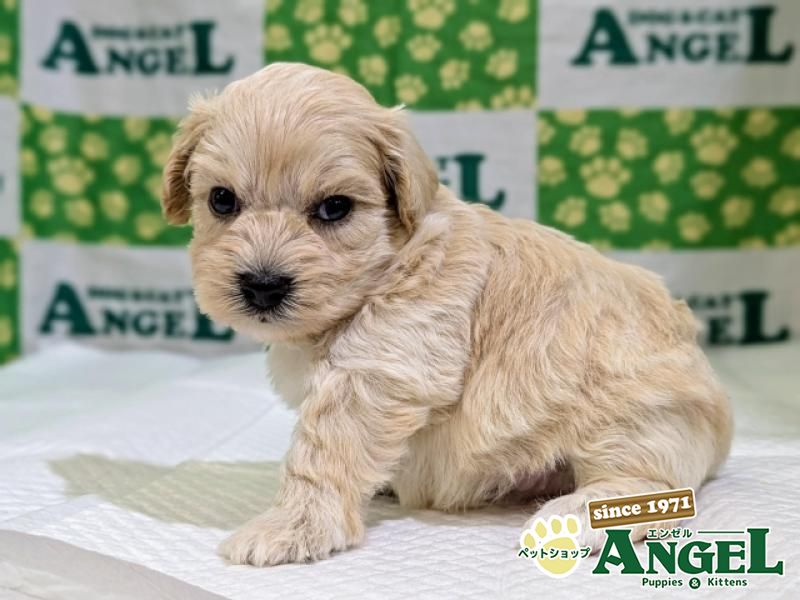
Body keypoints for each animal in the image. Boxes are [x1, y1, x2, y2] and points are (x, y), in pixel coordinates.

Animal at [161, 62, 732, 566]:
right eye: (221, 200)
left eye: (334, 208)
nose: (262, 286)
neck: (385, 267)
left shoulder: (378, 371)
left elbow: (321, 454)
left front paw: (291, 525)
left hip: (635, 418)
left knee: (654, 486)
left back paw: (572, 516)